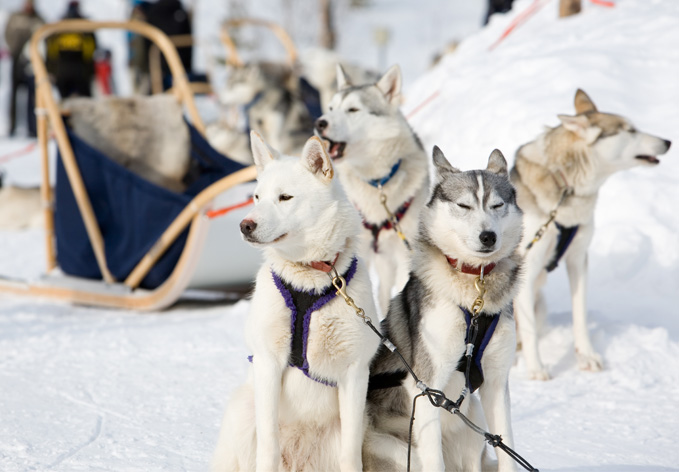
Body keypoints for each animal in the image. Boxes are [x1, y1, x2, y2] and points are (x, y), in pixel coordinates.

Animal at [211, 131, 380, 470]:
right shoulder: (267, 363)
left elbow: (351, 455)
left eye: (285, 198)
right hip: (242, 408)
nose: (245, 225)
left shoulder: (355, 373)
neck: (309, 281)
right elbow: (268, 446)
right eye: (256, 197)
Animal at [364, 148, 524, 472]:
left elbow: (507, 451)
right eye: (464, 205)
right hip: (397, 449)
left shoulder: (496, 383)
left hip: (473, 423)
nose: (488, 236)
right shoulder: (426, 389)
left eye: (497, 205)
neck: (474, 296)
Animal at [512, 88, 672, 380]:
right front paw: (536, 368)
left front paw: (586, 356)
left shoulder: (578, 258)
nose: (667, 141)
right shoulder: (528, 264)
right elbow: (529, 333)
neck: (565, 183)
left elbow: (580, 315)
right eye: (630, 130)